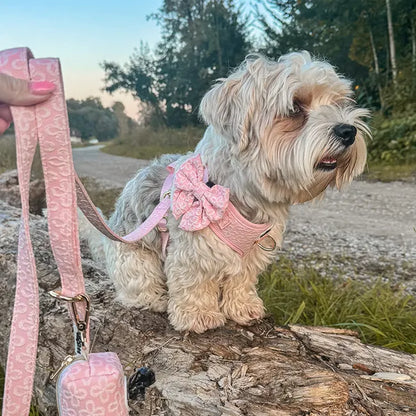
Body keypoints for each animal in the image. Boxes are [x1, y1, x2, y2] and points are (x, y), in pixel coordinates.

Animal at [83, 52, 368, 334]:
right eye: (295, 107)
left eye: (339, 102)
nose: (348, 131)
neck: (242, 192)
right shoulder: (192, 252)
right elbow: (194, 282)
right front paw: (198, 314)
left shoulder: (251, 253)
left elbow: (241, 280)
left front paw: (243, 307)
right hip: (134, 258)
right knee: (139, 284)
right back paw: (154, 298)